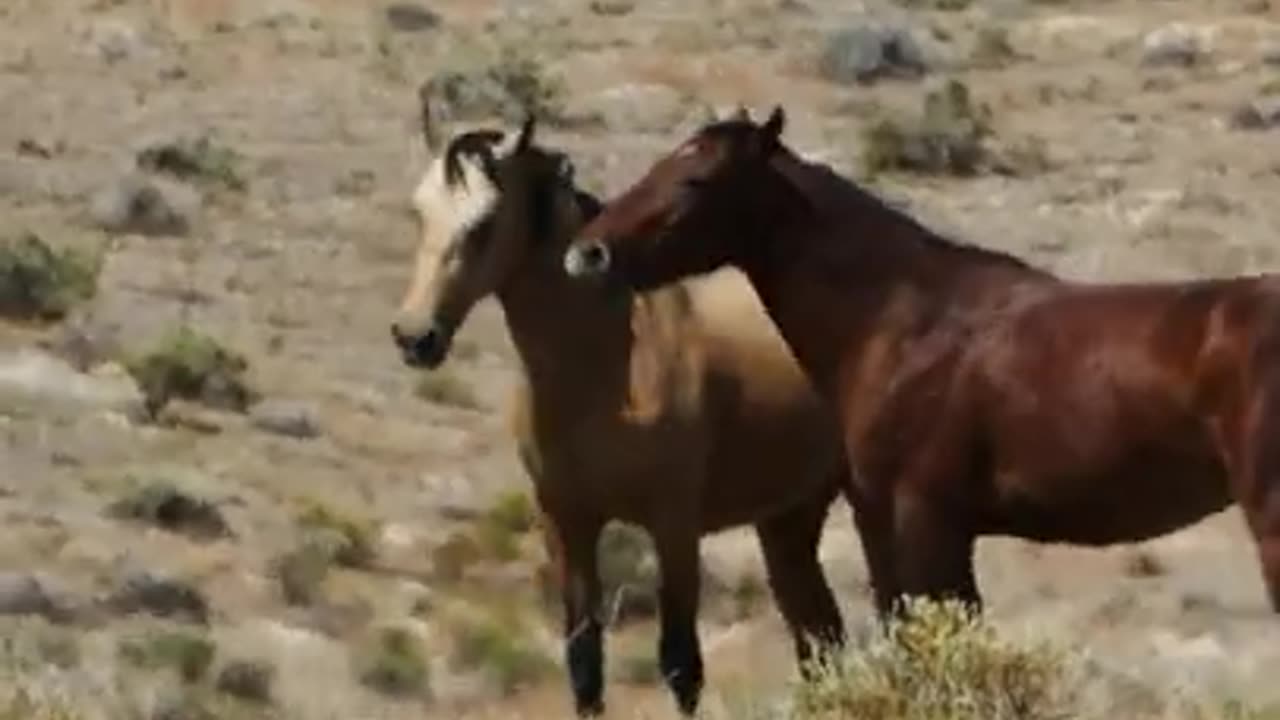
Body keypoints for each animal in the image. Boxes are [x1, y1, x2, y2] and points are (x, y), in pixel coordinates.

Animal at [386, 98, 849, 712]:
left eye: (484, 223)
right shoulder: (567, 521)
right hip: (788, 521)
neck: (611, 362)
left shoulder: (674, 525)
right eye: (419, 211)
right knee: (821, 642)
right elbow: (584, 662)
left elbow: (681, 665)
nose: (416, 337)